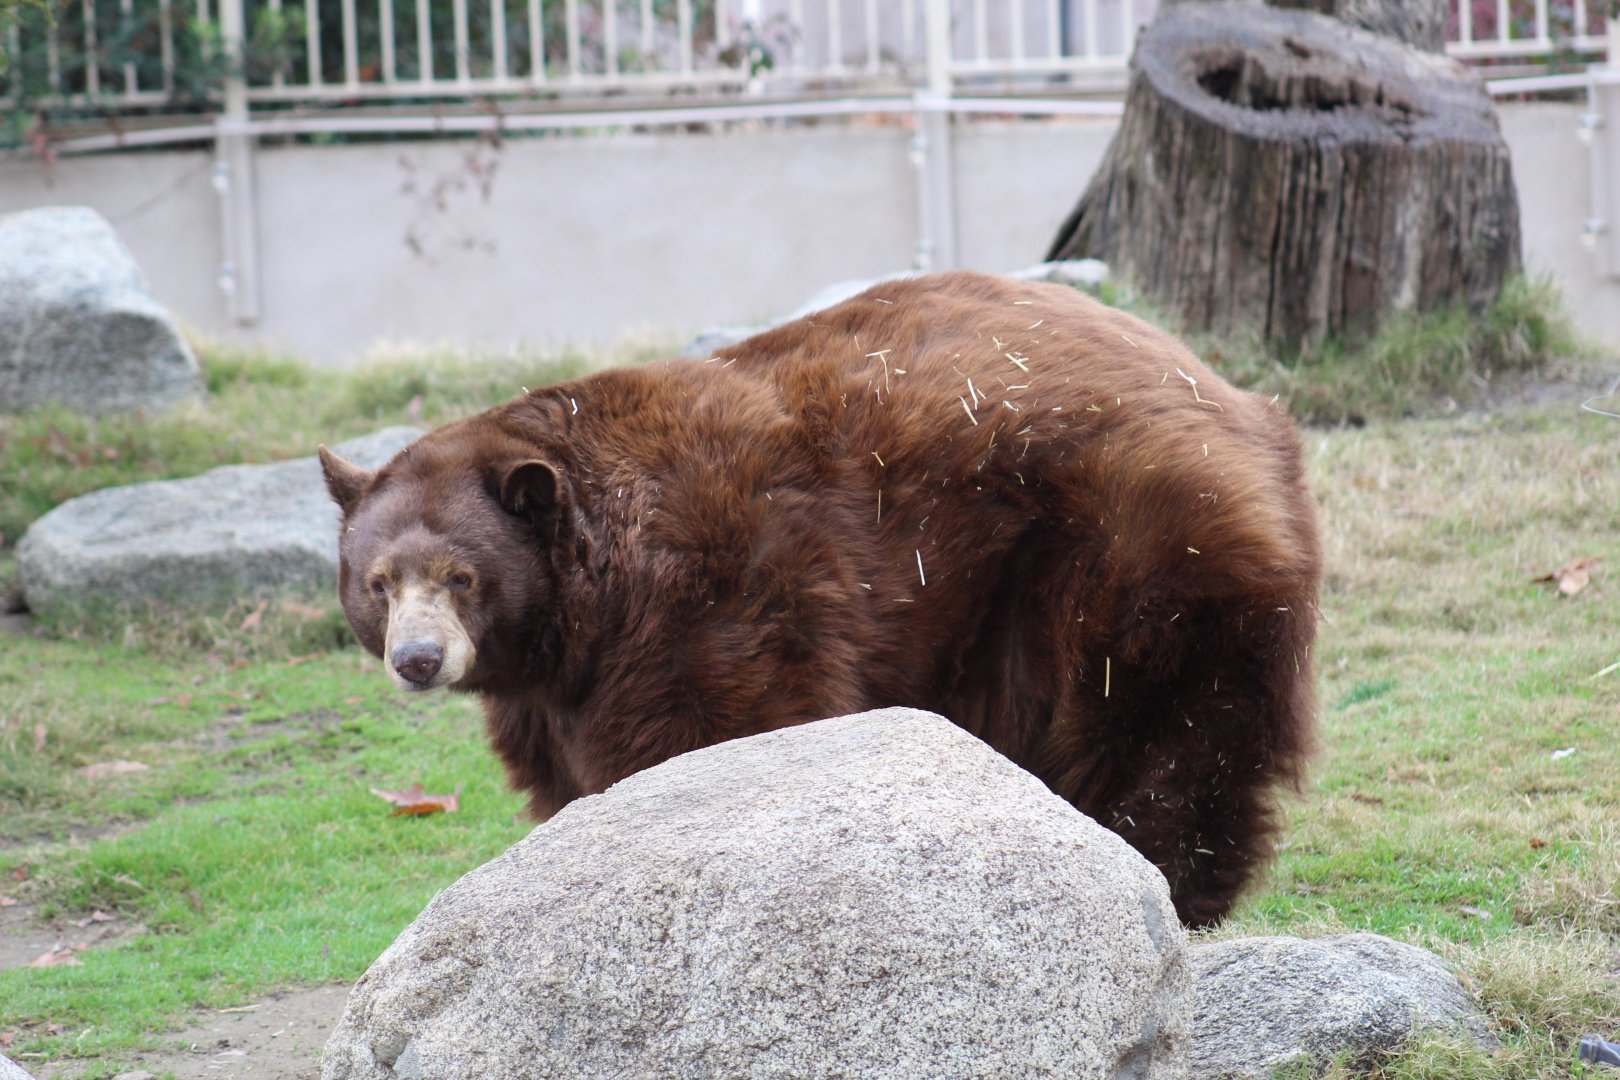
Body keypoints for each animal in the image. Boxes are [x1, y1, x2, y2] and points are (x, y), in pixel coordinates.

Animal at [319, 270, 1321, 926]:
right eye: (378, 582)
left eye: (461, 574)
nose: (419, 658)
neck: (589, 601)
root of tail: (1242, 401)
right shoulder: (551, 684)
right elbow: (568, 774)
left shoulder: (717, 590)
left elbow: (721, 727)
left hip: (1134, 539)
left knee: (1160, 720)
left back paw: (1168, 873)